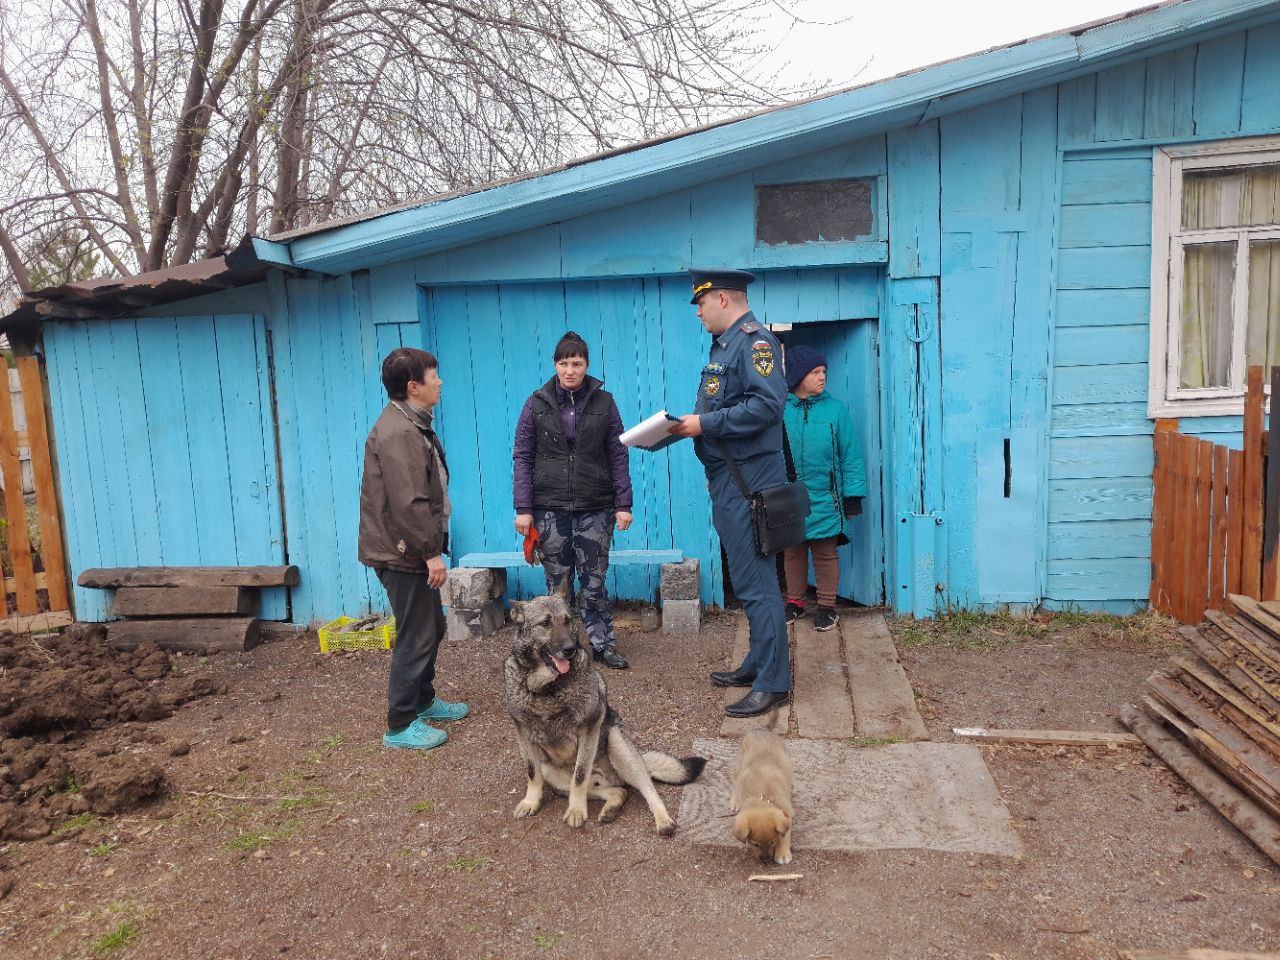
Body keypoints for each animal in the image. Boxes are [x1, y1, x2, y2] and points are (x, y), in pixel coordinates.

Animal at [499, 593, 706, 834]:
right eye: (545, 623)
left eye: (568, 621)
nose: (570, 649)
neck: (546, 688)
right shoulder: (523, 732)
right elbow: (533, 774)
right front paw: (531, 801)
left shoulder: (589, 728)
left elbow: (579, 775)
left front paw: (576, 810)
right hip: (552, 771)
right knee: (619, 791)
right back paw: (610, 809)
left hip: (618, 743)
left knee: (647, 787)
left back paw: (662, 820)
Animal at [732, 732, 788, 870]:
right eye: (755, 844)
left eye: (772, 842)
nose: (766, 861)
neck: (762, 795)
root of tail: (762, 730)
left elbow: (784, 835)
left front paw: (783, 854)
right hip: (739, 765)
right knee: (736, 783)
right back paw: (734, 801)